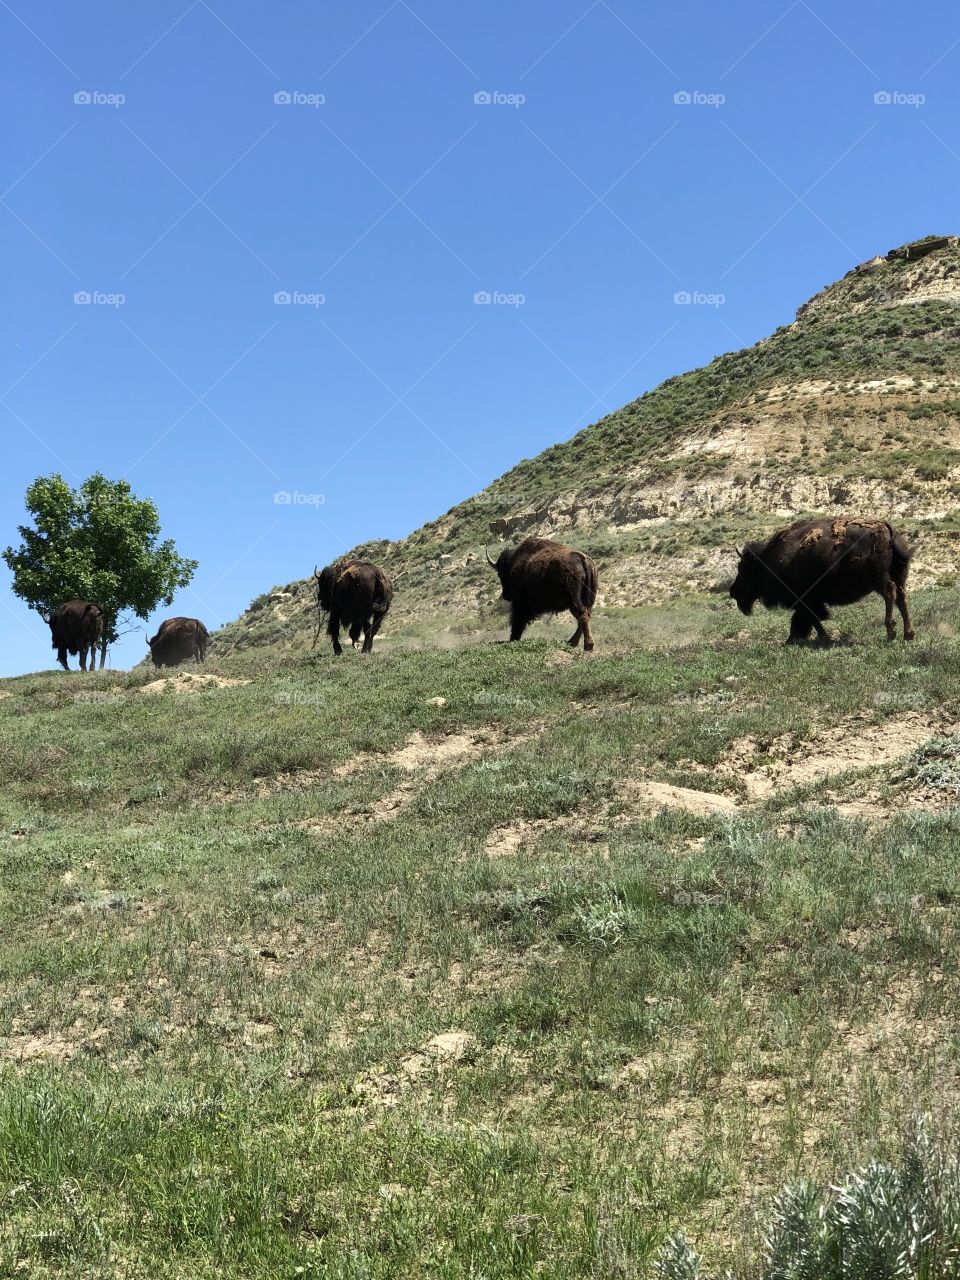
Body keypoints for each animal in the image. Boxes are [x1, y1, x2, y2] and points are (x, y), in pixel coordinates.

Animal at [729, 515, 914, 645]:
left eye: (742, 568)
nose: (732, 592)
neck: (768, 561)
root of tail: (887, 529)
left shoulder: (804, 600)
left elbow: (810, 619)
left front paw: (821, 638)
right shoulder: (807, 602)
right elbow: (804, 620)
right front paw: (793, 639)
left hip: (880, 580)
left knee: (890, 595)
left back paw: (891, 633)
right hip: (899, 577)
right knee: (901, 598)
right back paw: (908, 635)